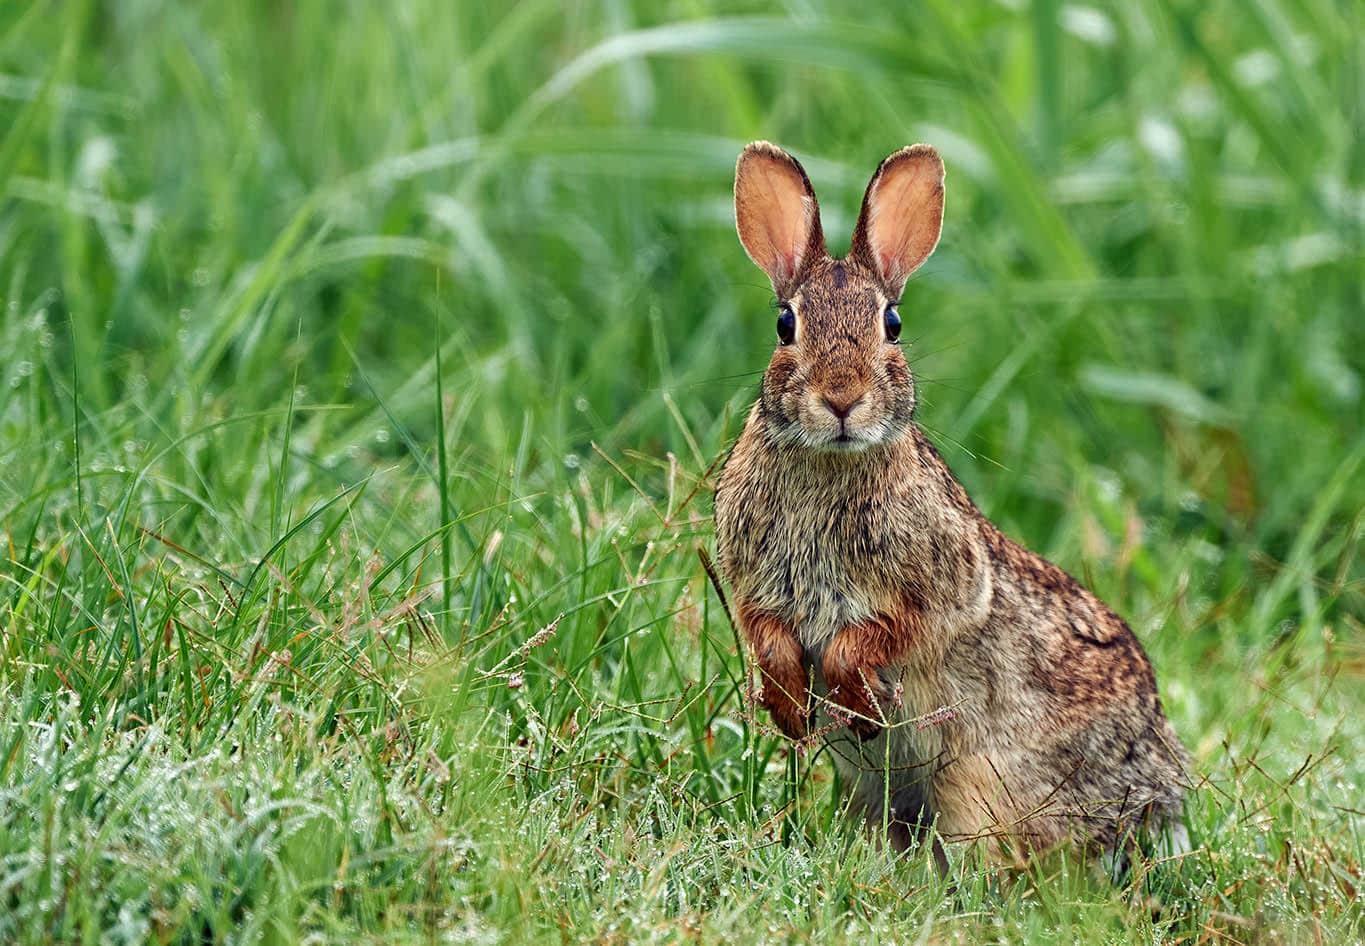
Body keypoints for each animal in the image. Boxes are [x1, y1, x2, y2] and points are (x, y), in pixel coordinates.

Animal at [720, 138, 1190, 862]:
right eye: (783, 324)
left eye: (891, 323)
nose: (841, 398)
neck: (829, 462)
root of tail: (1156, 805)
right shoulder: (755, 589)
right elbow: (766, 636)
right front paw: (789, 709)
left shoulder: (944, 588)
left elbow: (885, 632)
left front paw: (852, 700)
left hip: (982, 787)